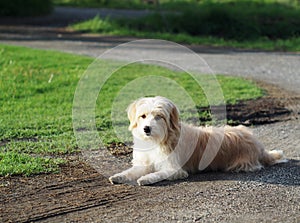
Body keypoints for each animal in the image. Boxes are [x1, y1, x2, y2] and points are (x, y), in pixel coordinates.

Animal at [109, 96, 288, 186]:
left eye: (159, 117)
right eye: (143, 116)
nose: (146, 129)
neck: (157, 140)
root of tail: (259, 145)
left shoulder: (175, 169)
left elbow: (159, 173)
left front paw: (146, 178)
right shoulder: (144, 162)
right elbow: (132, 171)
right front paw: (119, 176)